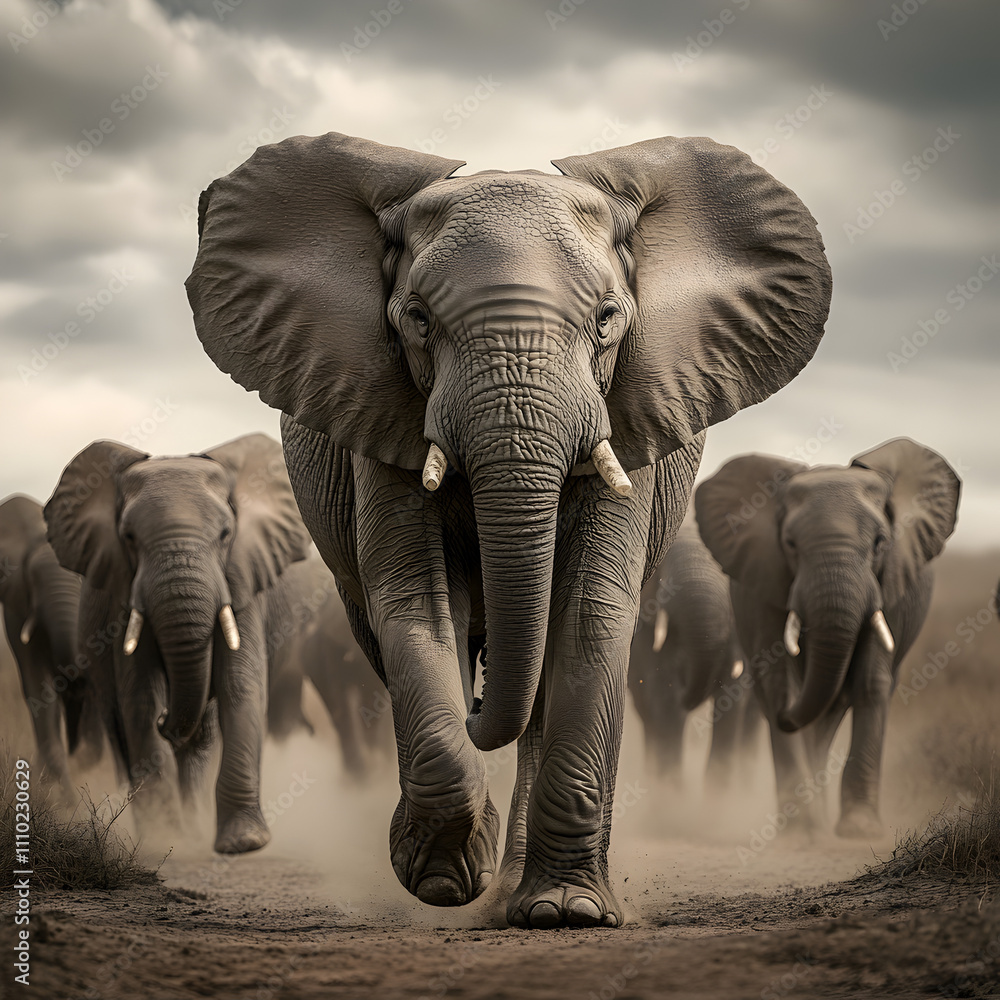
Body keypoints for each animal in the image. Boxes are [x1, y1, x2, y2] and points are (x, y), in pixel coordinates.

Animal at [44, 433, 312, 853]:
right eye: (129, 538)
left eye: (225, 534)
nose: (166, 722)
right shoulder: (123, 597)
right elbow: (140, 696)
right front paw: (164, 840)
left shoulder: (242, 582)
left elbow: (241, 685)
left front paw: (244, 843)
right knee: (120, 730)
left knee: (201, 741)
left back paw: (196, 828)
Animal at [695, 438, 960, 838]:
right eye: (789, 543)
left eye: (881, 543)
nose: (784, 716)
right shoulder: (762, 585)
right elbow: (778, 678)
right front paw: (800, 830)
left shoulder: (890, 588)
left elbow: (870, 681)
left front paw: (859, 830)